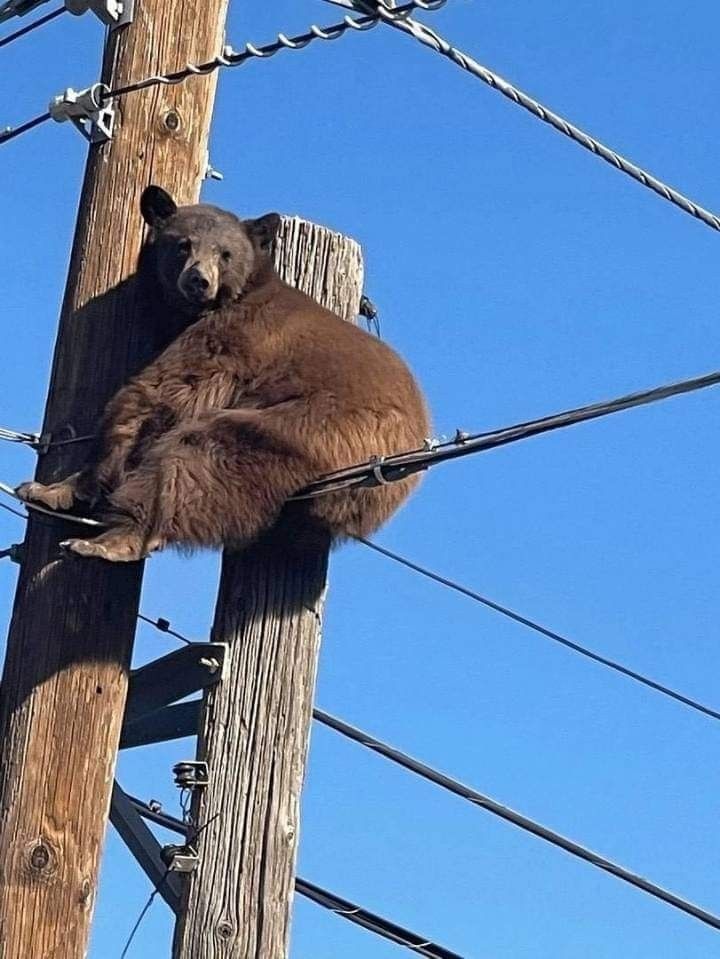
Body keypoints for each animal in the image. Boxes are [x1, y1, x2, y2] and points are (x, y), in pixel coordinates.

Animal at [16, 186, 430, 562]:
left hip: (321, 429)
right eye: (183, 245)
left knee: (201, 455)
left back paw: (113, 540)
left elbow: (161, 393)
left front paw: (52, 489)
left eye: (225, 253)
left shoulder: (231, 340)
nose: (198, 280)